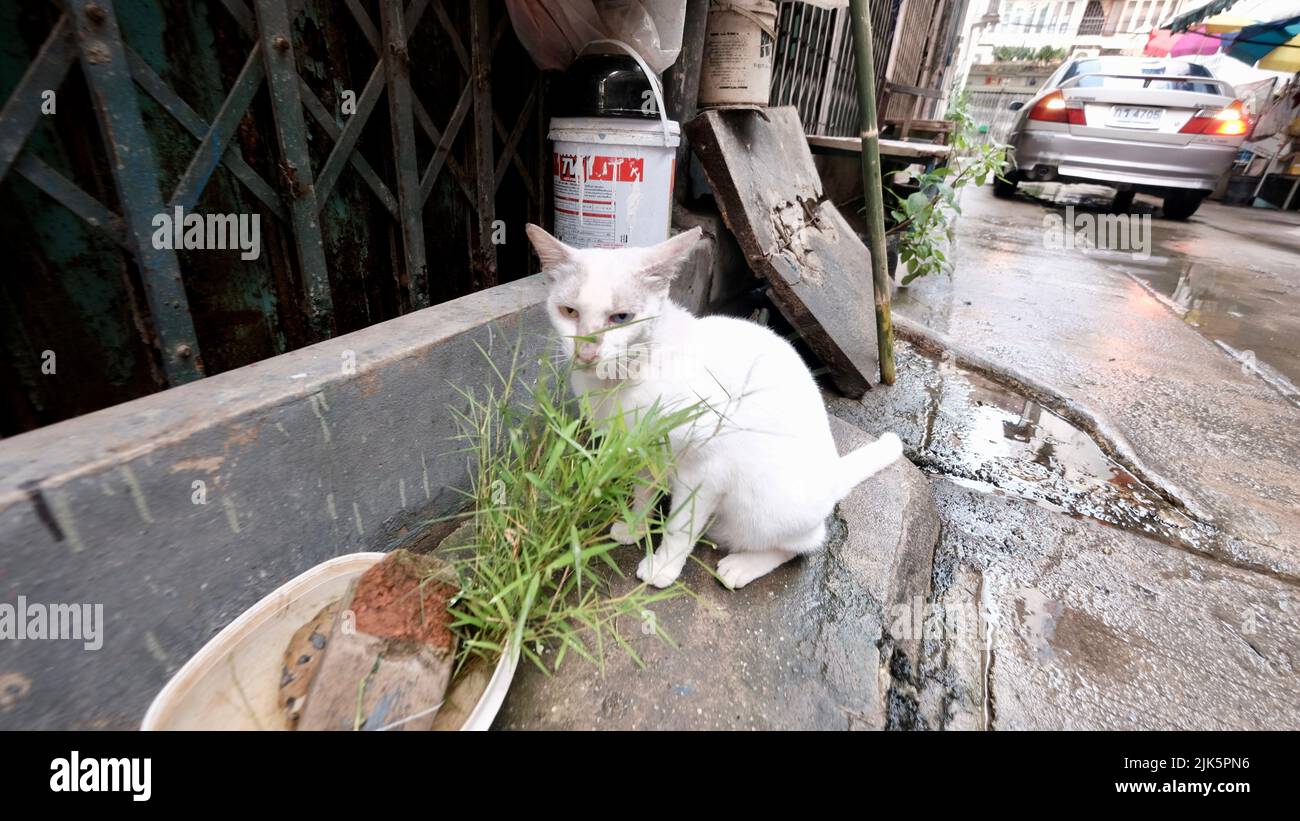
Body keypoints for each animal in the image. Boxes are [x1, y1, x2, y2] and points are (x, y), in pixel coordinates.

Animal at [522, 220, 899, 587]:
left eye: (621, 317)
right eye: (569, 312)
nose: (586, 352)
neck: (622, 382)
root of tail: (833, 473)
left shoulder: (705, 469)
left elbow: (680, 526)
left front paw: (664, 567)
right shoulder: (640, 451)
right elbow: (642, 493)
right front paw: (634, 526)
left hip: (764, 508)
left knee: (804, 543)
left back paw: (742, 566)